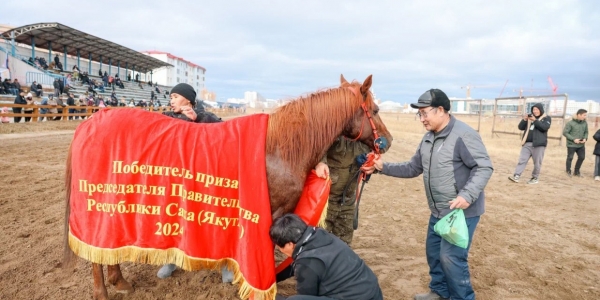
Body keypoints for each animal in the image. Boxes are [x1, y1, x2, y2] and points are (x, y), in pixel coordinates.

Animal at [64, 74, 394, 298]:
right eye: (376, 109)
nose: (387, 141)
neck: (279, 149)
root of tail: (92, 122)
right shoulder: (272, 214)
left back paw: (120, 281)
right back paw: (103, 291)